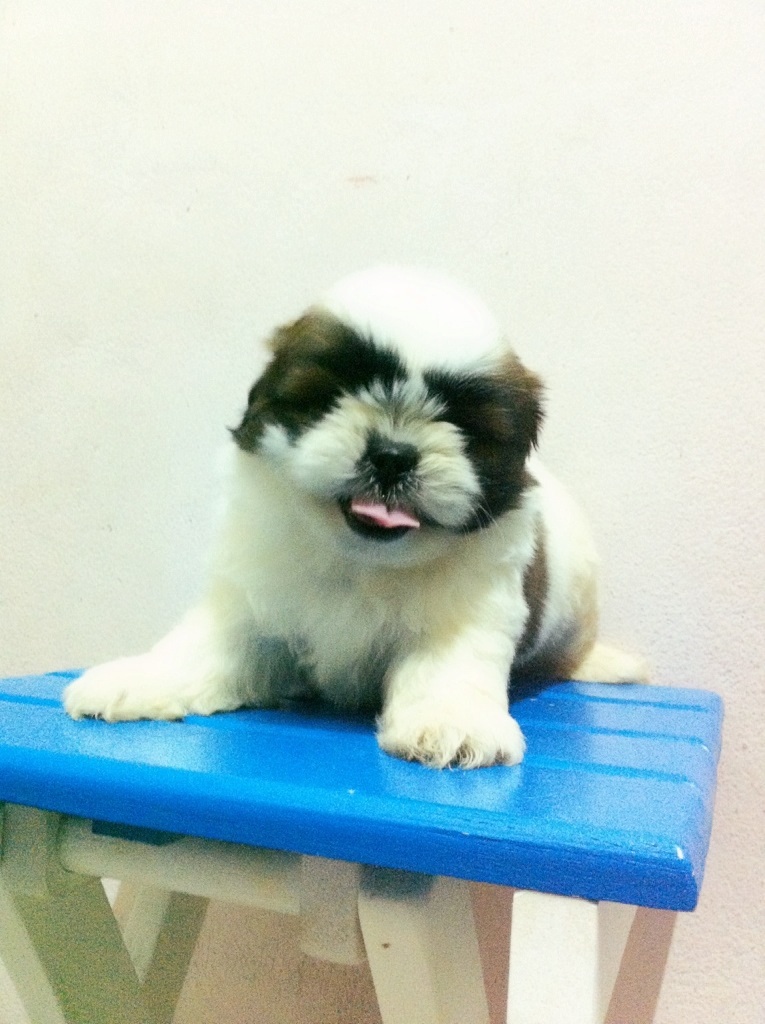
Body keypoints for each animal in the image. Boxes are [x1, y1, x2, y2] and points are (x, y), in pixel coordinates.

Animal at [64, 265, 647, 767]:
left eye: (460, 423)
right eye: (333, 396)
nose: (392, 455)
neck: (361, 559)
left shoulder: (472, 607)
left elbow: (450, 665)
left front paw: (452, 722)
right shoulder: (252, 596)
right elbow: (207, 645)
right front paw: (141, 678)